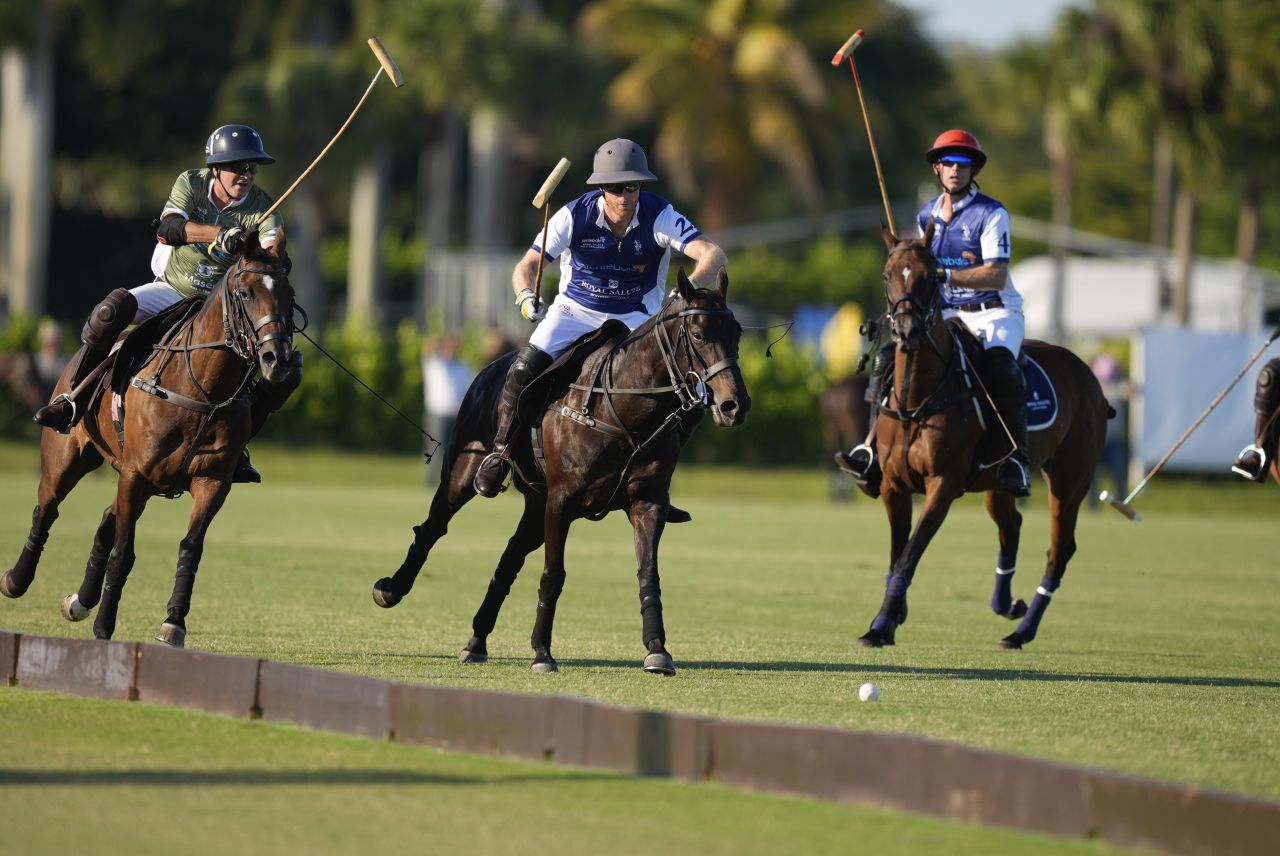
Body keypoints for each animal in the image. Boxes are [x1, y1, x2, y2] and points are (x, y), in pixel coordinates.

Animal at [1, 230, 294, 644]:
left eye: (290, 296)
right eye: (247, 292)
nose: (277, 360)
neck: (203, 388)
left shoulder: (212, 481)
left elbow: (191, 548)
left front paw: (173, 622)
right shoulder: (136, 474)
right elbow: (125, 552)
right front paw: (105, 626)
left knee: (105, 521)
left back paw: (80, 601)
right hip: (68, 457)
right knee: (47, 508)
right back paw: (16, 580)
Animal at [371, 269, 747, 670]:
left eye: (737, 333)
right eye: (698, 334)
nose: (735, 405)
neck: (626, 411)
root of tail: (490, 366)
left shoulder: (648, 502)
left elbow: (648, 572)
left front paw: (657, 649)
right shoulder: (562, 501)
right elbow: (554, 574)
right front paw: (542, 652)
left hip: (535, 505)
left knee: (509, 558)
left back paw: (476, 640)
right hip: (465, 473)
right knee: (434, 527)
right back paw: (391, 590)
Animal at [860, 223, 1111, 649]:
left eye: (931, 277)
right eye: (886, 275)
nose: (907, 331)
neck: (917, 400)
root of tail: (1089, 376)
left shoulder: (943, 484)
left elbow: (910, 554)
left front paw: (881, 625)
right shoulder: (894, 485)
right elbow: (897, 554)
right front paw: (888, 621)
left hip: (1070, 480)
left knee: (1058, 551)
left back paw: (1020, 632)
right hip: (998, 483)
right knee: (1012, 528)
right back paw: (1008, 605)